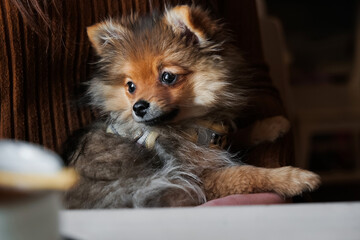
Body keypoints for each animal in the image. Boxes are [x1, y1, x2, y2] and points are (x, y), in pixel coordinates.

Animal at [63, 5, 320, 208]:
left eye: (167, 77)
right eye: (131, 86)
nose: (138, 107)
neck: (190, 126)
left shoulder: (213, 142)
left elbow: (238, 132)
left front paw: (274, 124)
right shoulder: (196, 178)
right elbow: (244, 174)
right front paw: (294, 178)